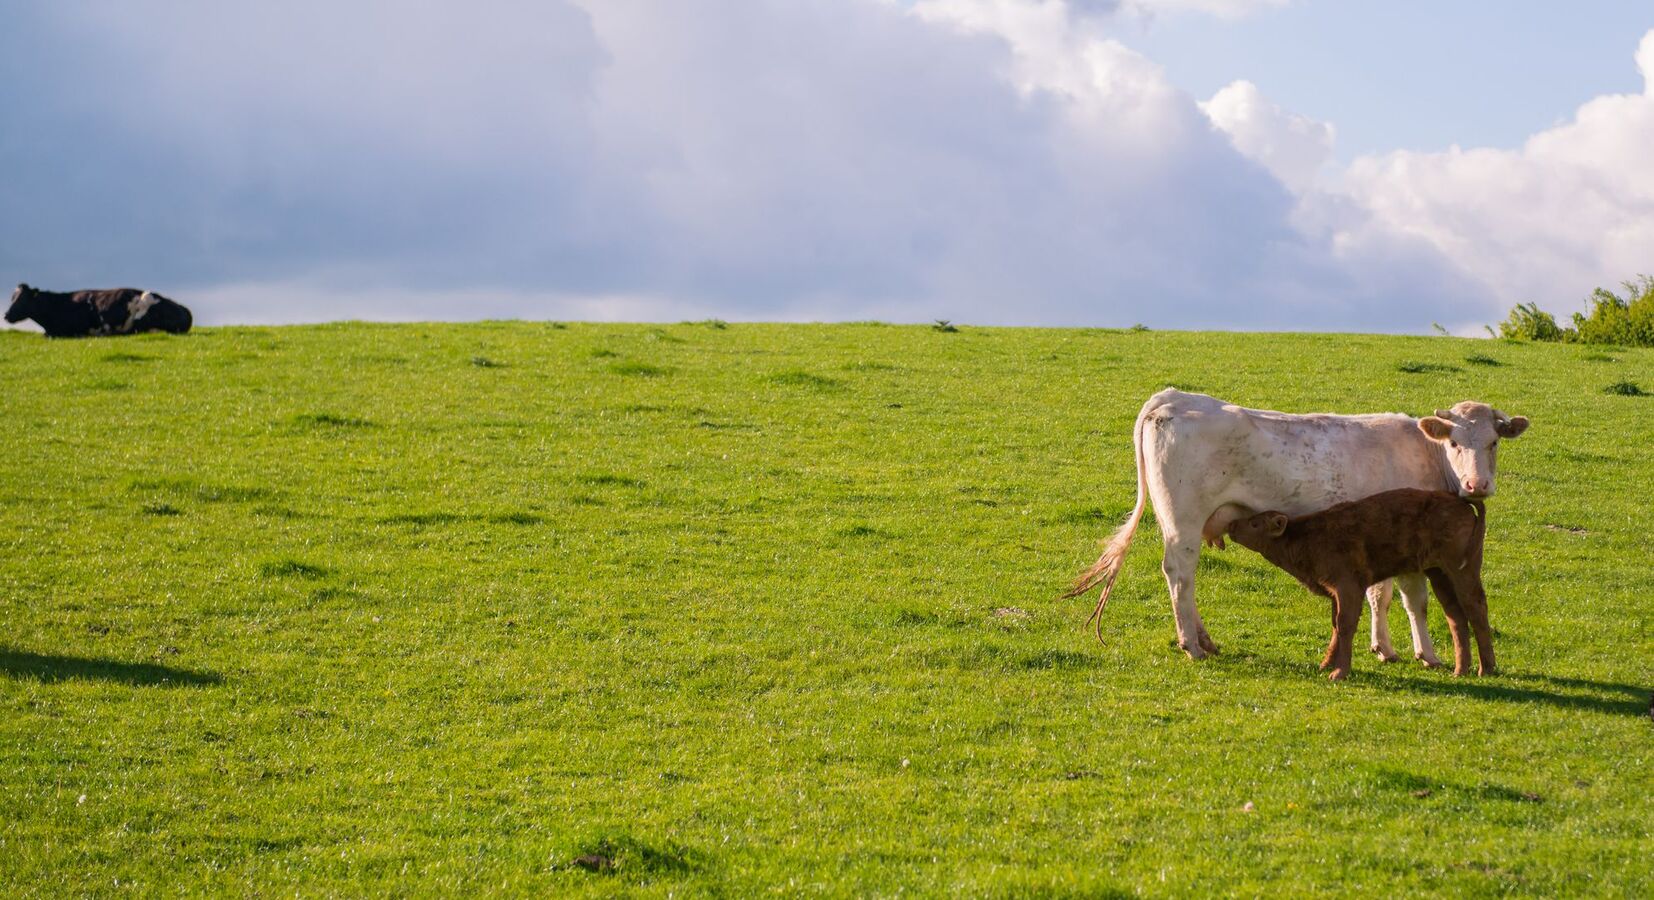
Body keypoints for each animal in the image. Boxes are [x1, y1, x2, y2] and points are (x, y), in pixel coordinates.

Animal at [1223, 489, 1495, 678]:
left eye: (1255, 523)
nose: (1232, 524)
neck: (1307, 536)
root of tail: (1459, 502)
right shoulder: (1335, 591)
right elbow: (1336, 625)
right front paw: (1326, 664)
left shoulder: (1348, 586)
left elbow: (1345, 624)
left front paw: (1339, 672)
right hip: (1438, 574)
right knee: (1456, 616)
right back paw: (1460, 670)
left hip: (1463, 571)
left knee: (1476, 609)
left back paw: (1486, 669)